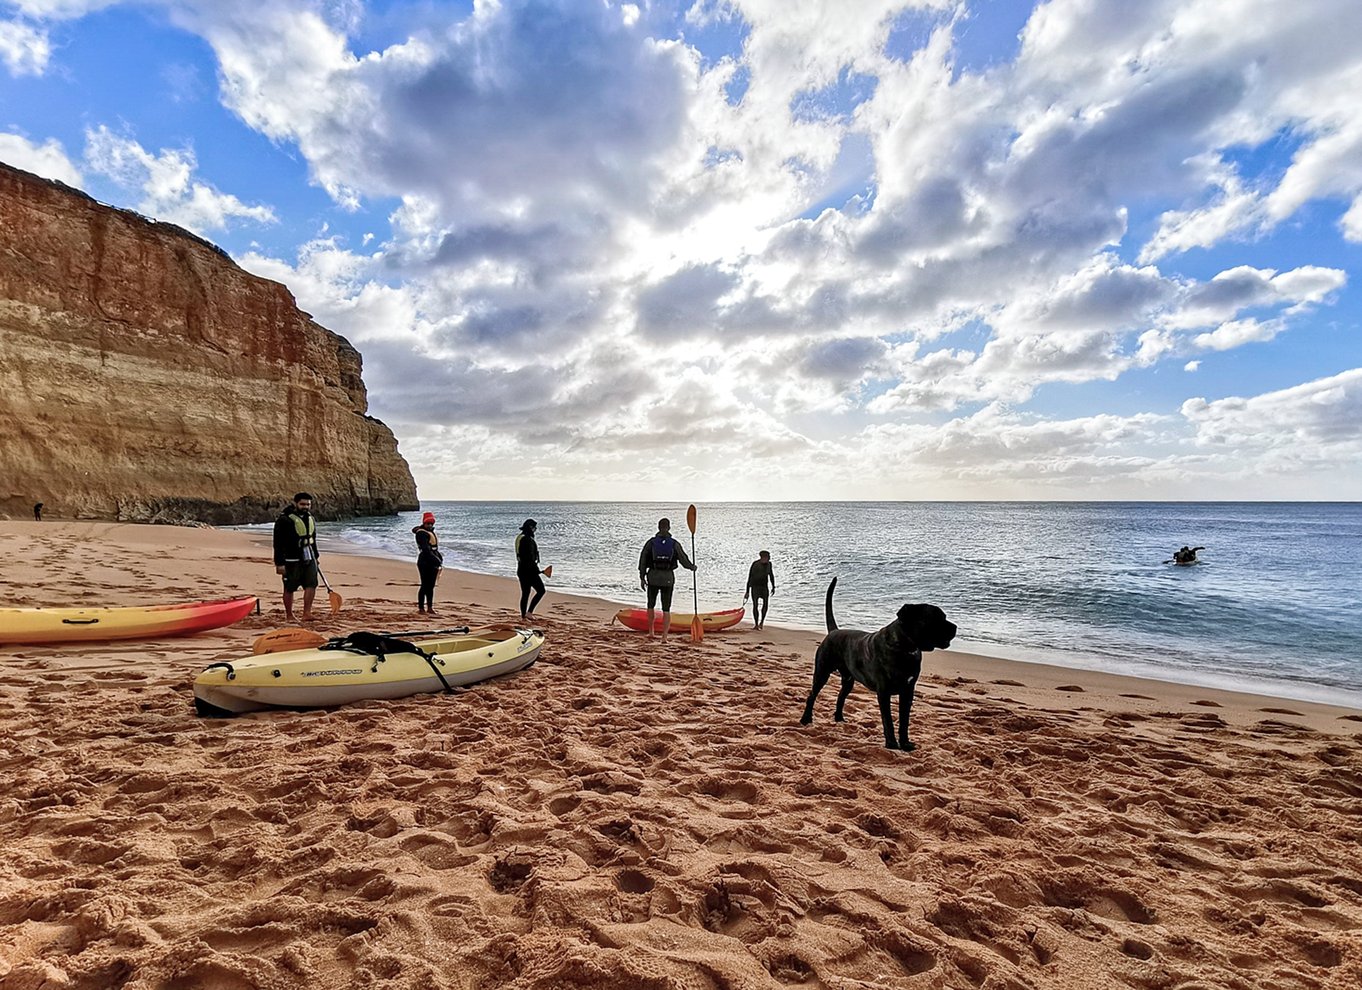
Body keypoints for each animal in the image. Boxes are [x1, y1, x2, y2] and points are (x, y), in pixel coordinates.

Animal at [795, 571, 958, 751]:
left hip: (848, 680)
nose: (955, 627)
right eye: (936, 619)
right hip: (822, 672)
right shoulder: (884, 692)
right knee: (812, 695)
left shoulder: (908, 692)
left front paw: (905, 743)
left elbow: (904, 722)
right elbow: (888, 721)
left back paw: (839, 718)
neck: (905, 647)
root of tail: (834, 631)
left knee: (841, 697)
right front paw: (892, 744)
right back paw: (806, 719)